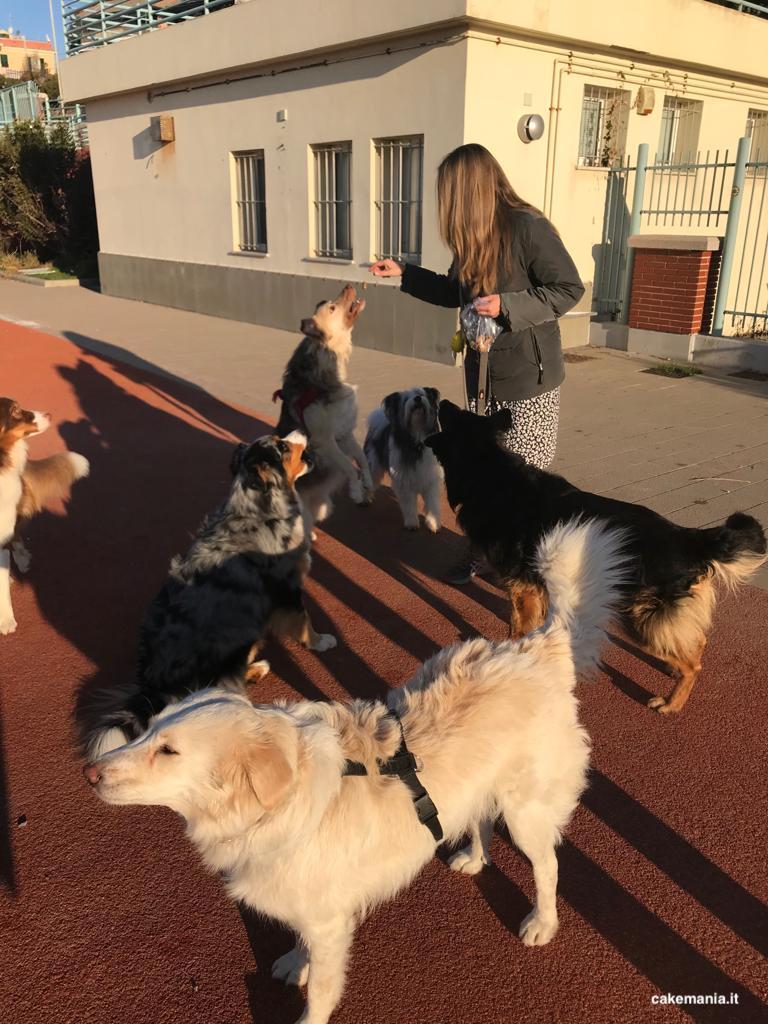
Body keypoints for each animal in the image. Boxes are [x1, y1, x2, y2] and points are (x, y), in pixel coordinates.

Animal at [366, 385, 444, 536]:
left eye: (421, 394)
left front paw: (433, 523)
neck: (417, 441)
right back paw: (363, 498)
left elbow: (432, 503)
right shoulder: (404, 481)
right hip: (373, 464)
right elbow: (409, 505)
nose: (418, 398)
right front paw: (412, 523)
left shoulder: (431, 479)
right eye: (406, 399)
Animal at [430, 395, 765, 716]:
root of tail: (687, 535)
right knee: (697, 641)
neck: (491, 472)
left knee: (693, 664)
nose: (440, 399)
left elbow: (515, 626)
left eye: (454, 415)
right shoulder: (535, 588)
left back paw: (671, 704)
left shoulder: (521, 587)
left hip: (640, 617)